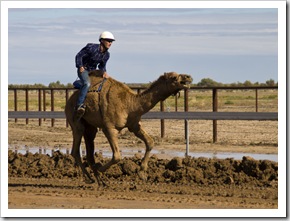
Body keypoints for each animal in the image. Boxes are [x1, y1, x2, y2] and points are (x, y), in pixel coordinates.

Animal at [65, 70, 193, 184]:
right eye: (174, 78)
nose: (188, 77)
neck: (129, 104)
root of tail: (69, 101)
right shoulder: (109, 128)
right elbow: (117, 156)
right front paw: (100, 168)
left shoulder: (134, 125)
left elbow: (150, 142)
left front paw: (142, 173)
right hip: (75, 121)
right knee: (75, 150)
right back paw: (91, 178)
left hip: (90, 127)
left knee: (88, 150)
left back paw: (100, 180)